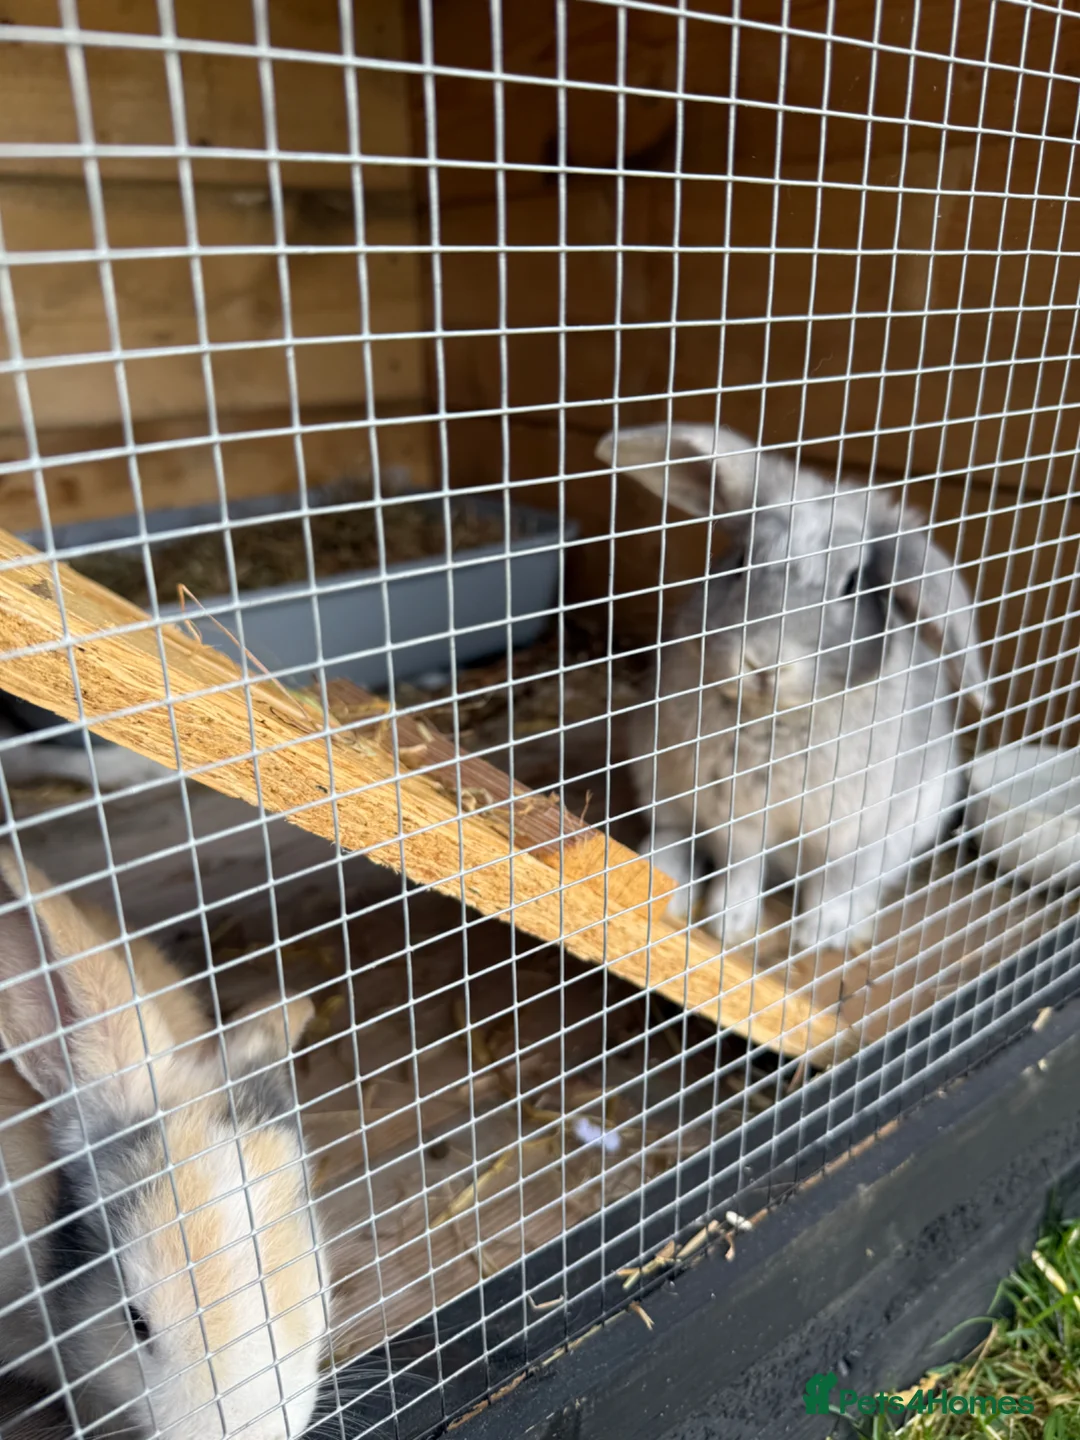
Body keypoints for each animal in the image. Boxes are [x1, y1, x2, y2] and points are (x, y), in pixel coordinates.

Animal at [598, 423, 987, 953]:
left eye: (851, 585)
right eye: (740, 561)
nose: (762, 662)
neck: (774, 718)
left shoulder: (852, 832)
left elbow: (836, 880)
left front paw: (818, 934)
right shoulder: (737, 819)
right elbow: (741, 869)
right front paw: (729, 923)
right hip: (659, 780)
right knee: (678, 835)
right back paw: (663, 876)